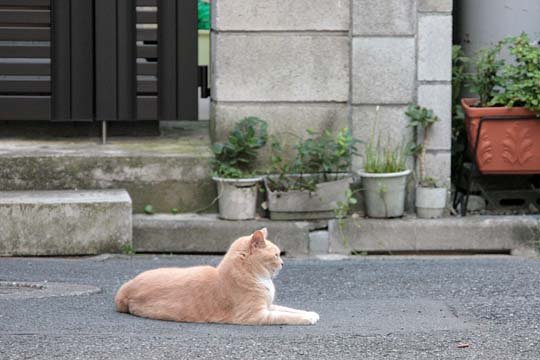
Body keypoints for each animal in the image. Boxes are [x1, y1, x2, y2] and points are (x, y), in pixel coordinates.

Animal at [113, 228, 316, 326]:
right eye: (276, 255)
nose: (283, 263)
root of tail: (125, 289)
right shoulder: (255, 315)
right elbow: (285, 316)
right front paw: (308, 319)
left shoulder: (268, 305)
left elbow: (289, 309)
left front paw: (309, 312)